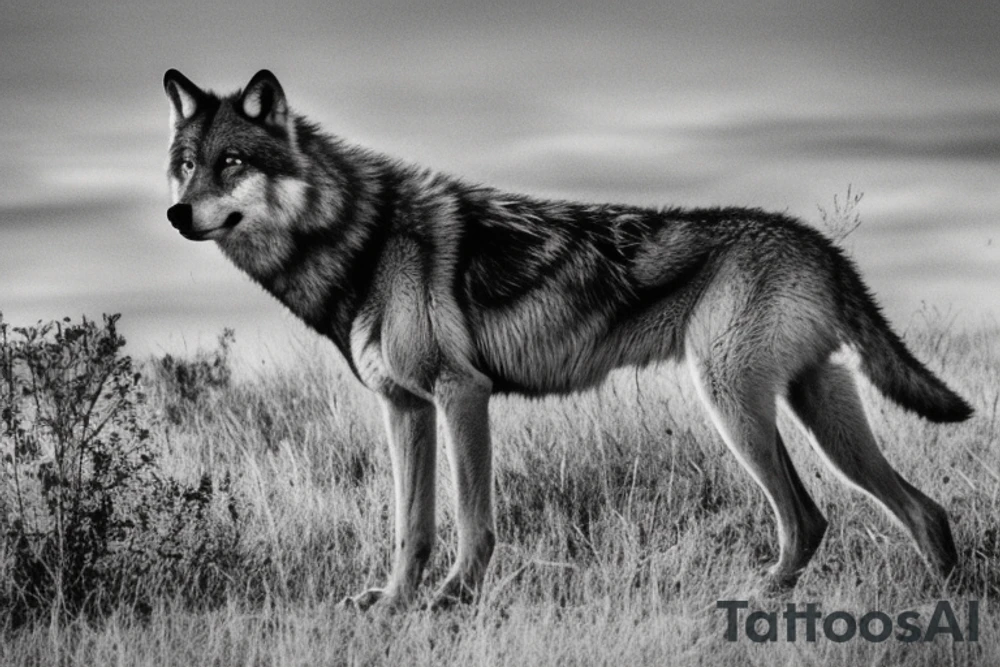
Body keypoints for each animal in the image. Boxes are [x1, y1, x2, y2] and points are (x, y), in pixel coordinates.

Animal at [163, 69, 972, 610]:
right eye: (186, 164)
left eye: (231, 162)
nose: (175, 214)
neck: (362, 241)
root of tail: (820, 245)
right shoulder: (405, 408)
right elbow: (409, 527)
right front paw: (395, 604)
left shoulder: (462, 395)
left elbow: (473, 522)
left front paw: (454, 601)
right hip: (818, 415)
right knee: (918, 511)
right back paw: (940, 608)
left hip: (735, 406)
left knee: (809, 518)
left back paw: (753, 604)